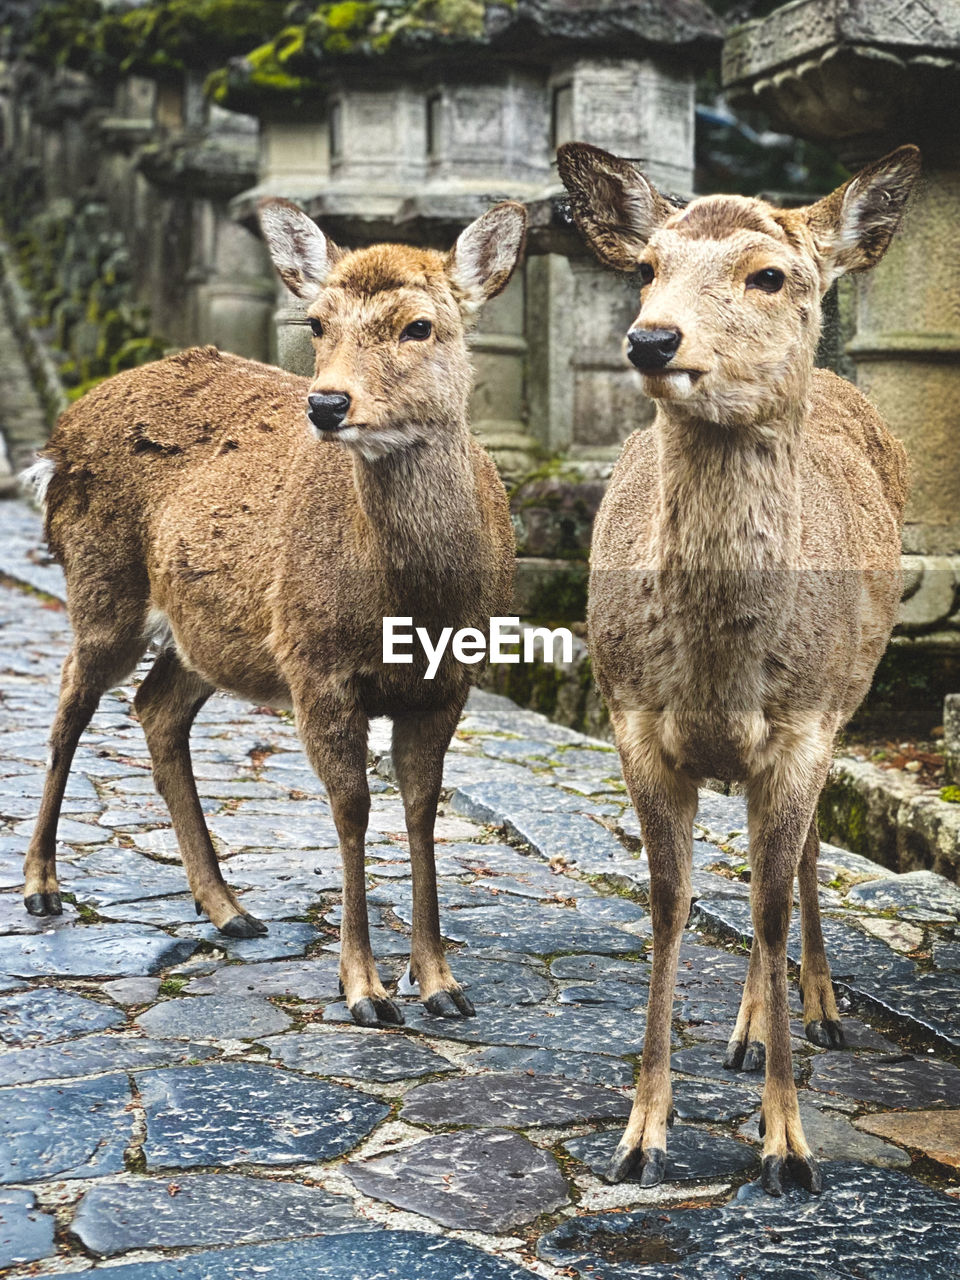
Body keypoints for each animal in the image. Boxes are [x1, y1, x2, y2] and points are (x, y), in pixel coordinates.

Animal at [16, 194, 527, 1024]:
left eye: (419, 325)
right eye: (317, 323)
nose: (327, 403)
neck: (413, 608)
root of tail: (58, 438)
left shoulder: (450, 681)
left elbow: (421, 808)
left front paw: (441, 984)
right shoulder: (317, 666)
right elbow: (353, 807)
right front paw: (364, 990)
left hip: (214, 632)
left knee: (156, 707)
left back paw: (228, 908)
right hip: (102, 583)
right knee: (69, 701)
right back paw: (41, 886)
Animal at [560, 145, 921, 1192]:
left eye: (769, 274)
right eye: (647, 266)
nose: (652, 339)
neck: (721, 677)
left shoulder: (802, 729)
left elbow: (763, 902)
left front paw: (788, 1146)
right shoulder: (633, 720)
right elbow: (671, 904)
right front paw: (641, 1134)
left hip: (847, 699)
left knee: (794, 864)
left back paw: (818, 1013)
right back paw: (748, 1030)